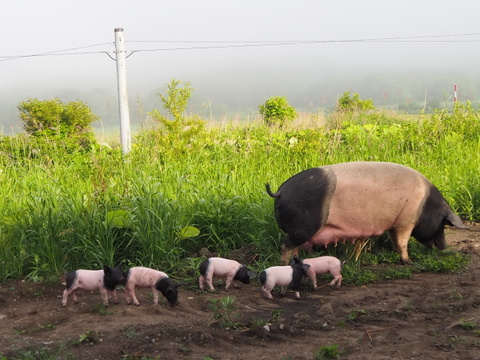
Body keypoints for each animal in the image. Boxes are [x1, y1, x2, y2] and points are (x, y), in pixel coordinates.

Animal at [266, 162, 464, 262]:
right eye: (443, 224)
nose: (443, 246)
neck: (425, 204)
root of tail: (280, 191)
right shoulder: (406, 220)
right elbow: (403, 242)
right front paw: (407, 261)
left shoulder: (394, 222)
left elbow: (395, 239)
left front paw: (394, 252)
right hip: (303, 227)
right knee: (286, 245)